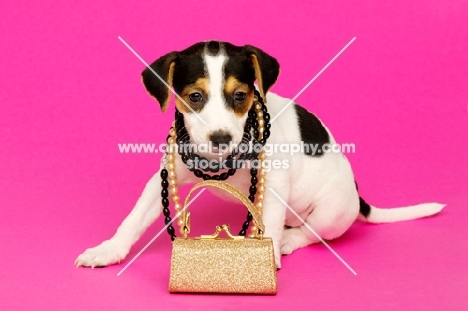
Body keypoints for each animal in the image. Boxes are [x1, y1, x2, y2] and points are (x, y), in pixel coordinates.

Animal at [75, 40, 444, 270]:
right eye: (195, 97)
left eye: (240, 95)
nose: (221, 138)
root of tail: (357, 195)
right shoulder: (164, 179)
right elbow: (133, 219)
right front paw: (108, 250)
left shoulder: (275, 184)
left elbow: (271, 224)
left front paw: (269, 256)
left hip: (332, 210)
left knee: (311, 233)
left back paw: (288, 240)